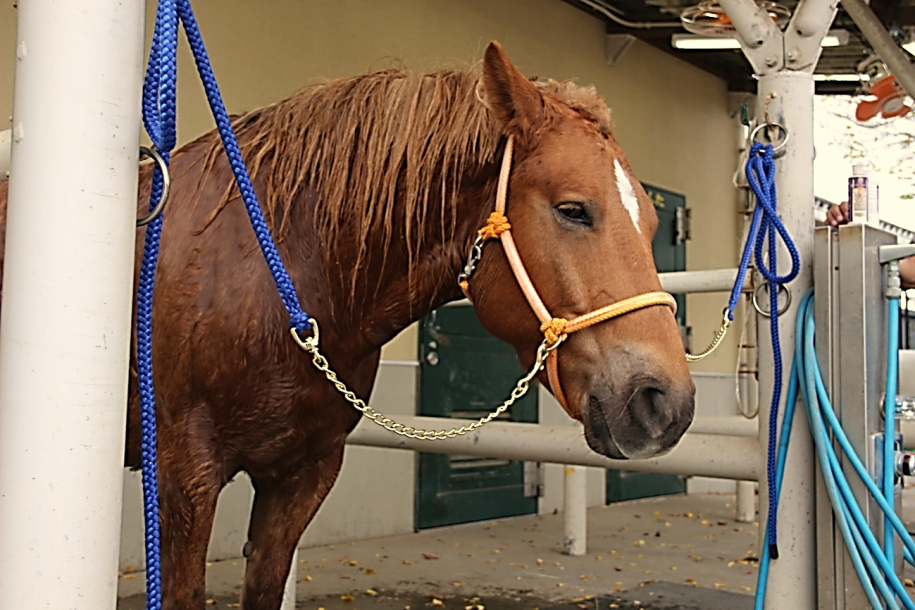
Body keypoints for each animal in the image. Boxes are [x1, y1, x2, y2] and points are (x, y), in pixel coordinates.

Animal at [0, 40, 696, 604]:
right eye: (573, 209)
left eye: (652, 224)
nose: (665, 404)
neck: (281, 280)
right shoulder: (182, 478)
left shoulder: (301, 477)